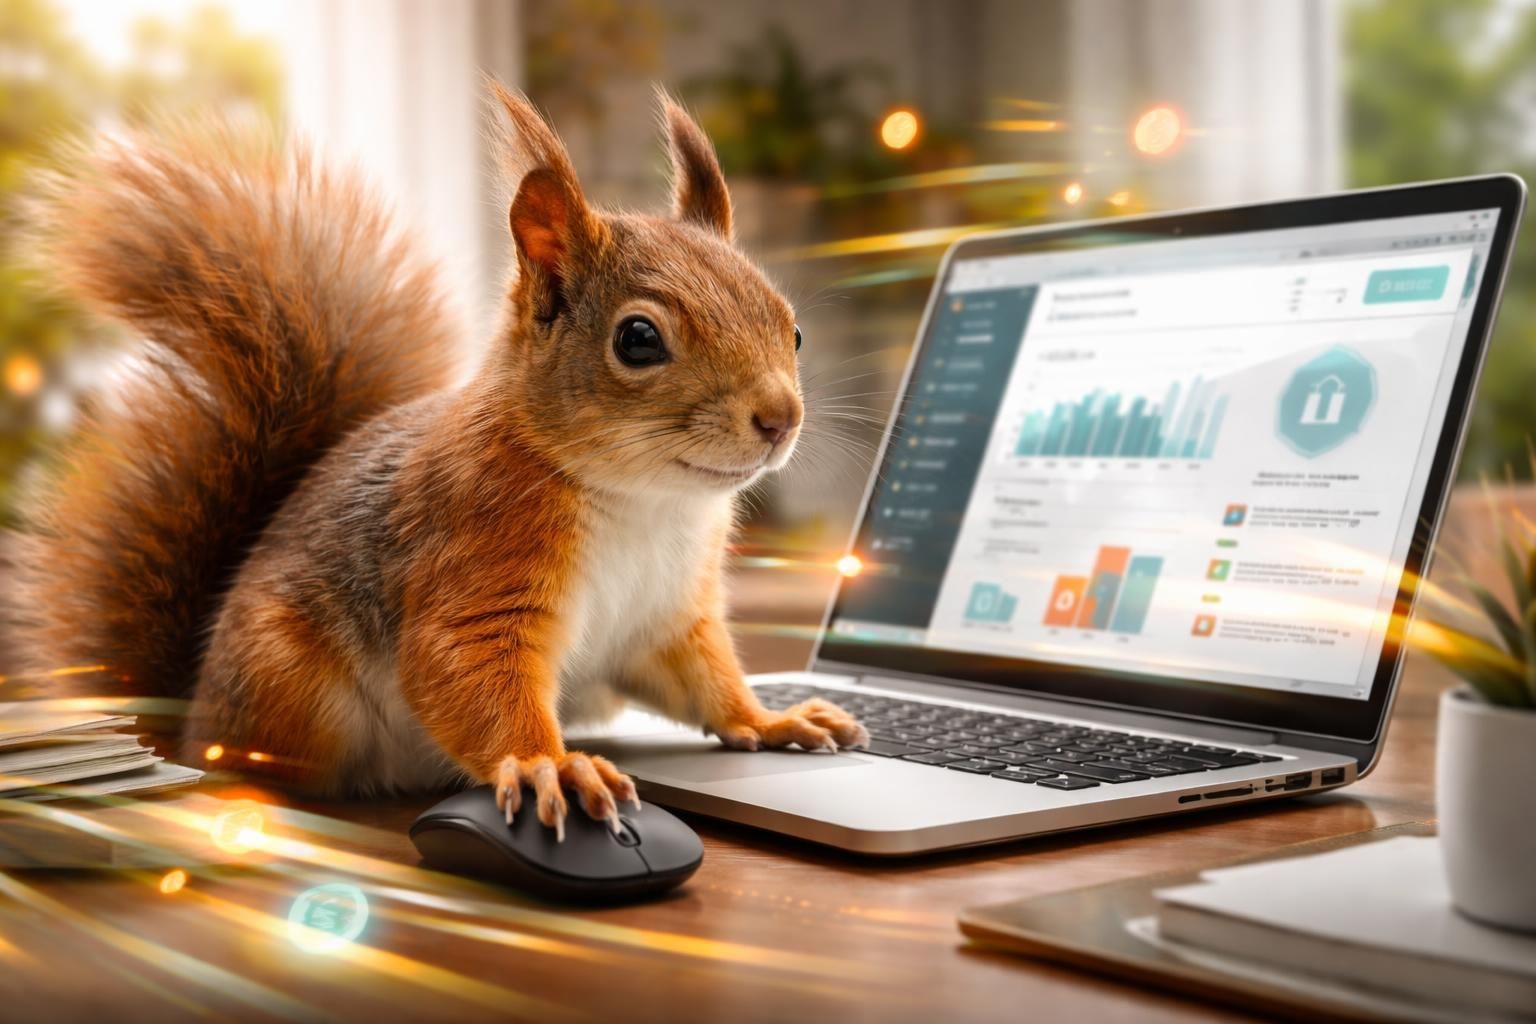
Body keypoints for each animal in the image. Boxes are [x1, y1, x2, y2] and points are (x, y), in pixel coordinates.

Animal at [7, 81, 868, 838]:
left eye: (792, 328)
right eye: (638, 339)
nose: (780, 418)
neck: (646, 501)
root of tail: (189, 715)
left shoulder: (669, 617)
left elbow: (708, 684)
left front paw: (774, 719)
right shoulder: (475, 555)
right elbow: (464, 669)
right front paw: (554, 767)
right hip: (285, 683)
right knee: (257, 759)